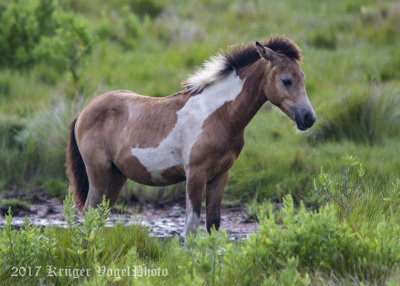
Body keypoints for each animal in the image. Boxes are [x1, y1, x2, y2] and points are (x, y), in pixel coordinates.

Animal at [65, 36, 316, 240]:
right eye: (286, 80)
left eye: (303, 77)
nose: (308, 118)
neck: (218, 114)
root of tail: (83, 112)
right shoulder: (195, 174)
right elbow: (191, 226)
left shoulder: (220, 175)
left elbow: (213, 224)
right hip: (98, 172)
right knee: (89, 213)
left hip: (117, 176)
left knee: (99, 216)